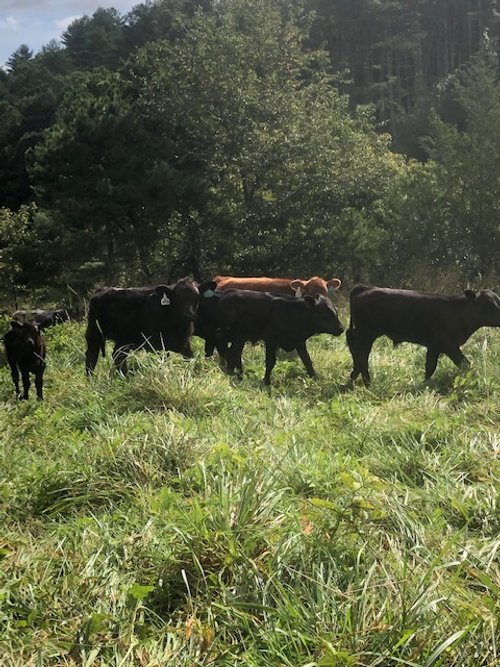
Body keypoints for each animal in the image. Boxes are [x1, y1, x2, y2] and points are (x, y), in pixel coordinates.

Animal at [196, 288, 344, 385]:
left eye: (335, 311)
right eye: (325, 313)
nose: (341, 328)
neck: (293, 313)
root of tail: (226, 294)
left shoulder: (299, 341)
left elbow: (307, 360)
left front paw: (314, 377)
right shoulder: (271, 340)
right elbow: (270, 361)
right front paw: (266, 381)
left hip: (240, 338)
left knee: (234, 353)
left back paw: (237, 374)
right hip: (224, 335)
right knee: (226, 352)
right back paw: (233, 374)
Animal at [346, 285, 500, 386]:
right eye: (489, 305)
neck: (459, 312)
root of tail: (366, 287)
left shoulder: (434, 346)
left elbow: (430, 366)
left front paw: (425, 384)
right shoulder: (447, 345)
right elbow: (463, 364)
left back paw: (354, 378)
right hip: (367, 334)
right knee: (362, 355)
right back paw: (367, 382)